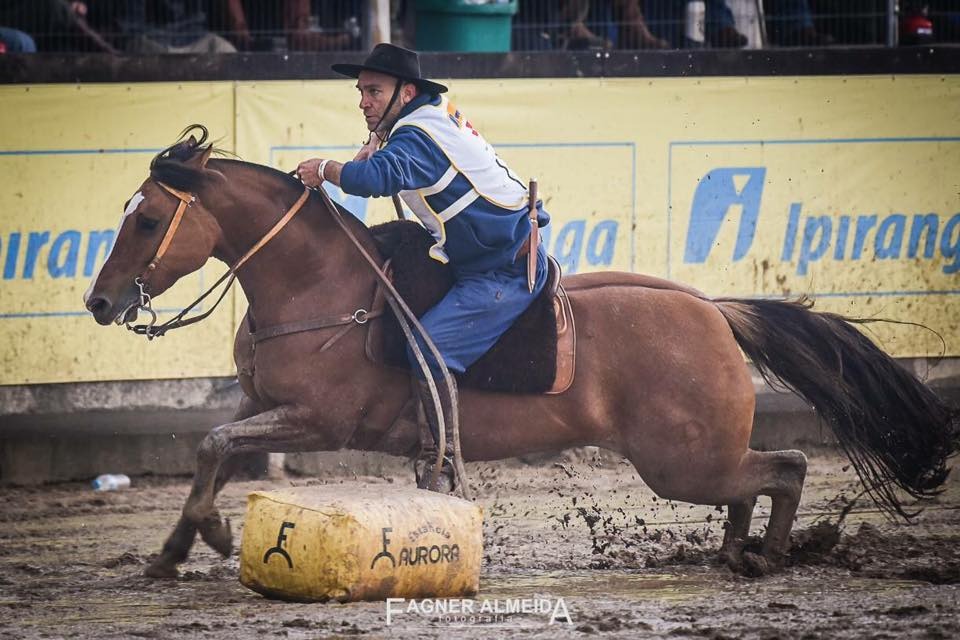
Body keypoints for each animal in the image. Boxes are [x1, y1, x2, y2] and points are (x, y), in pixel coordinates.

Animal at [84, 127, 960, 576]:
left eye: (148, 218)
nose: (100, 303)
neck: (322, 287)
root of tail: (712, 310)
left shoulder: (318, 420)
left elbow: (212, 443)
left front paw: (210, 537)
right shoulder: (262, 404)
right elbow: (215, 448)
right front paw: (178, 546)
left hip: (684, 462)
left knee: (788, 467)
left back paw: (767, 557)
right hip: (699, 460)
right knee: (757, 482)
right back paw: (733, 552)